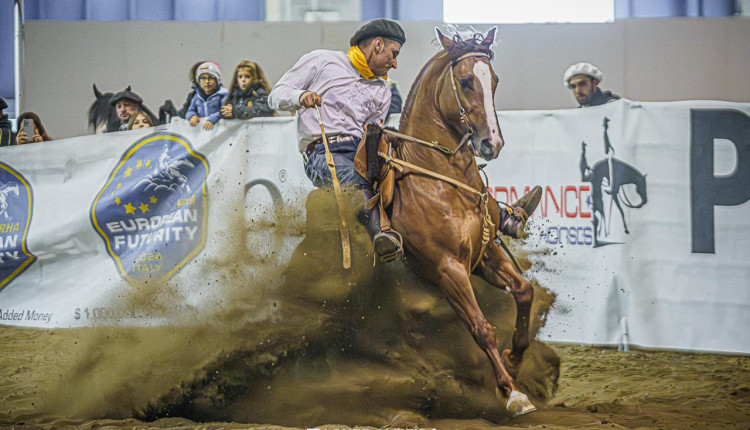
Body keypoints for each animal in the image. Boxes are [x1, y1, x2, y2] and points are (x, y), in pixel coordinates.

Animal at [383, 27, 537, 416]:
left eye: (494, 80)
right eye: (466, 81)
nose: (492, 143)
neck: (442, 181)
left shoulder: (485, 254)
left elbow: (524, 291)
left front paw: (515, 357)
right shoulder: (447, 268)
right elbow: (482, 327)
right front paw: (513, 393)